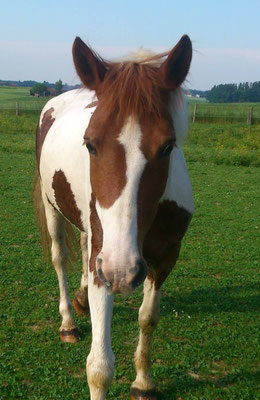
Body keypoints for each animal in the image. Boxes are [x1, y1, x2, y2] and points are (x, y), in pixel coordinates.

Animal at [34, 35, 193, 400]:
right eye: (90, 144)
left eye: (168, 146)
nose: (121, 270)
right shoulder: (102, 268)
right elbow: (99, 369)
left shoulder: (165, 257)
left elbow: (148, 318)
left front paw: (143, 381)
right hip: (53, 209)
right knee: (60, 257)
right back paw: (68, 321)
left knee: (82, 244)